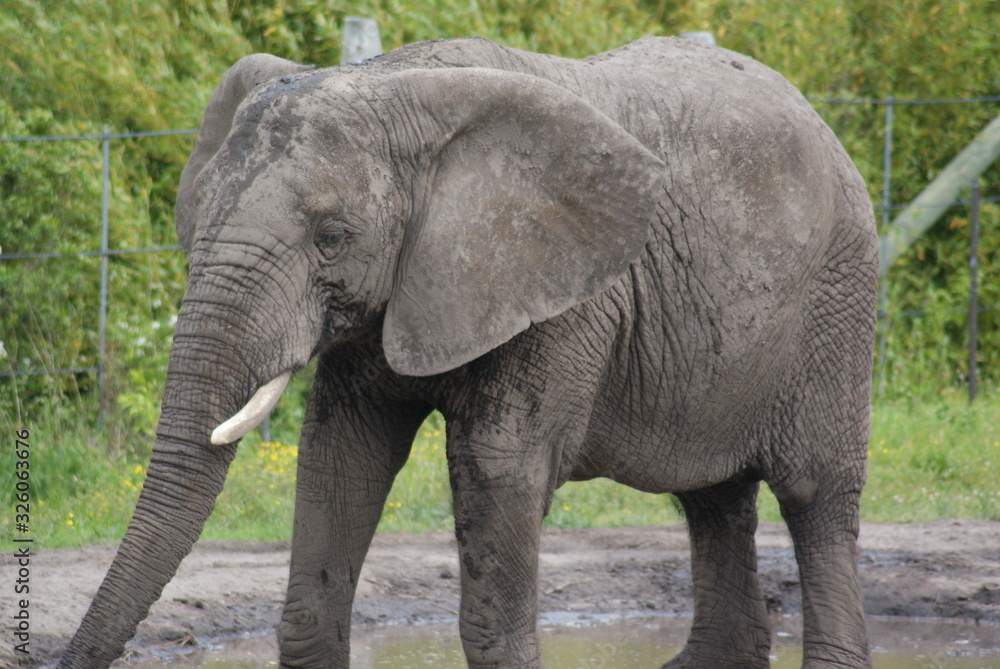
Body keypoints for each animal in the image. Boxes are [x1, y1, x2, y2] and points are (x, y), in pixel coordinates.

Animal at [60, 36, 877, 669]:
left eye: (332, 236)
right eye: (195, 221)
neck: (394, 83)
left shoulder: (564, 293)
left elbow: (497, 468)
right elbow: (339, 456)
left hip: (838, 298)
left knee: (815, 494)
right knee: (713, 497)